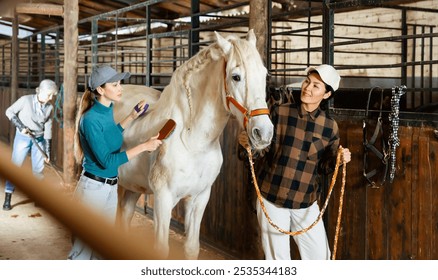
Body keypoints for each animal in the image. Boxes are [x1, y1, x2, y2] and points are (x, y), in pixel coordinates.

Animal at [114, 29, 272, 260]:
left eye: (264, 75)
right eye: (236, 77)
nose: (264, 133)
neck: (192, 142)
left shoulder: (199, 198)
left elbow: (191, 247)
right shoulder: (163, 200)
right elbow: (161, 249)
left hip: (132, 186)